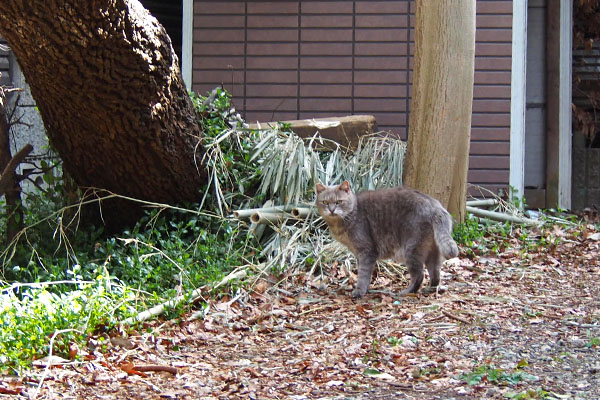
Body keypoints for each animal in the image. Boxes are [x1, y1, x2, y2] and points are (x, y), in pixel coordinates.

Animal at [314, 181, 460, 296]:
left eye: (339, 202)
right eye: (325, 202)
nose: (332, 210)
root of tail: (436, 206)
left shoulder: (367, 251)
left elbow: (363, 273)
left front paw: (359, 291)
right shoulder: (359, 254)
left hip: (412, 249)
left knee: (419, 275)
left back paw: (406, 292)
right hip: (432, 251)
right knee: (435, 273)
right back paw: (431, 289)